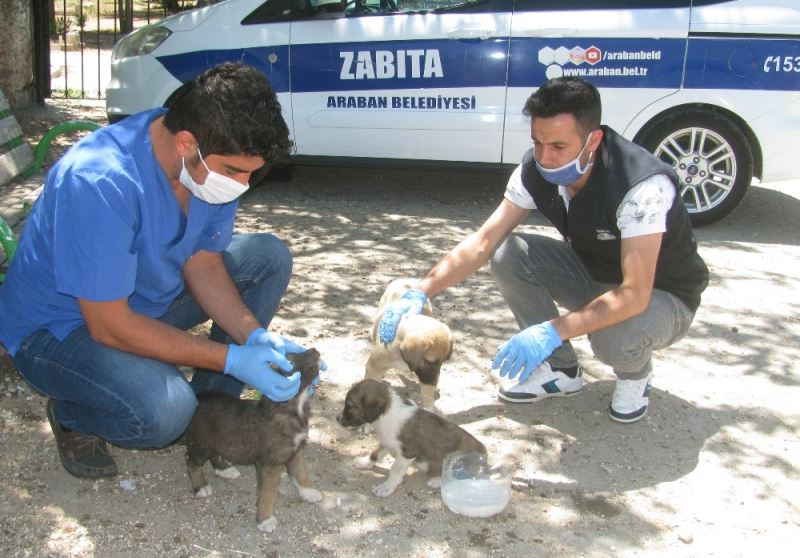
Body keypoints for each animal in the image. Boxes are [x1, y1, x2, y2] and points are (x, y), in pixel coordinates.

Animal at [184, 349, 323, 533]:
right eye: (290, 362)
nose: (315, 350)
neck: (292, 406)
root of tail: (197, 397)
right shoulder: (270, 464)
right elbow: (268, 493)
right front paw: (264, 519)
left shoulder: (296, 452)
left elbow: (301, 473)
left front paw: (308, 492)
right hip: (202, 443)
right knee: (191, 461)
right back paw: (200, 486)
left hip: (215, 440)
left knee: (214, 454)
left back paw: (225, 470)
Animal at [337, 379, 486, 497]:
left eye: (350, 406)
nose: (337, 418)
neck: (385, 416)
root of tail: (484, 451)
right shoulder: (386, 442)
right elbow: (376, 454)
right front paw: (364, 462)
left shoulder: (407, 453)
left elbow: (395, 470)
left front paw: (386, 487)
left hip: (458, 456)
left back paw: (438, 480)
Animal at [365, 278, 453, 409]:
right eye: (429, 361)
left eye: (443, 361)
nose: (435, 382)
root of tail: (406, 280)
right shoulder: (374, 368)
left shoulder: (425, 377)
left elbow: (427, 397)